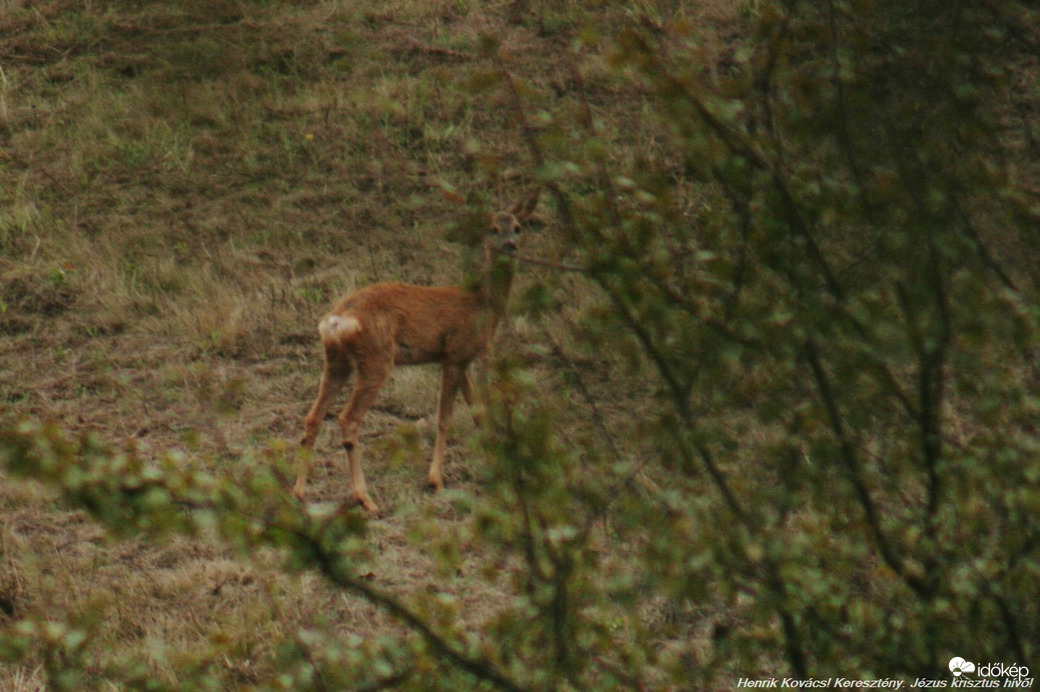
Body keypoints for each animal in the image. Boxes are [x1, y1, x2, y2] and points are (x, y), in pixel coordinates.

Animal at [291, 189, 536, 511]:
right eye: (492, 228)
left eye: (518, 227)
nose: (511, 245)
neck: (483, 305)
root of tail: (336, 320)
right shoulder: (455, 354)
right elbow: (444, 418)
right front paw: (436, 481)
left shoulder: (464, 359)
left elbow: (478, 413)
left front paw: (496, 466)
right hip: (377, 357)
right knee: (348, 418)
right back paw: (365, 498)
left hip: (336, 360)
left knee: (313, 417)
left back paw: (300, 492)